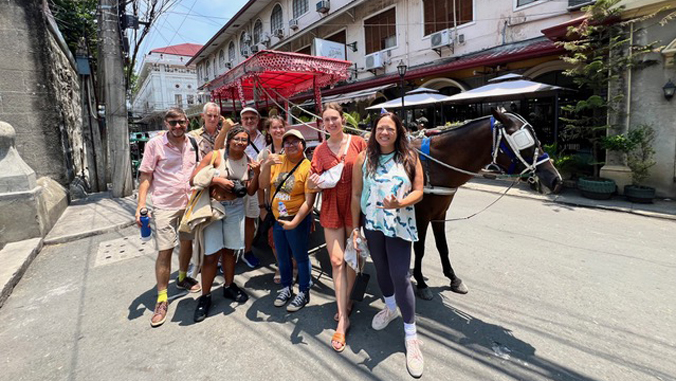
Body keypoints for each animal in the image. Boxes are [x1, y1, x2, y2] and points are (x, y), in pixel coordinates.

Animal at [410, 107, 564, 300]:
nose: (556, 180)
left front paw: (453, 278)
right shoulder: (421, 215)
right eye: (527, 145)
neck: (433, 165)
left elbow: (442, 246)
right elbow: (419, 248)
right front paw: (421, 282)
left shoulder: (439, 213)